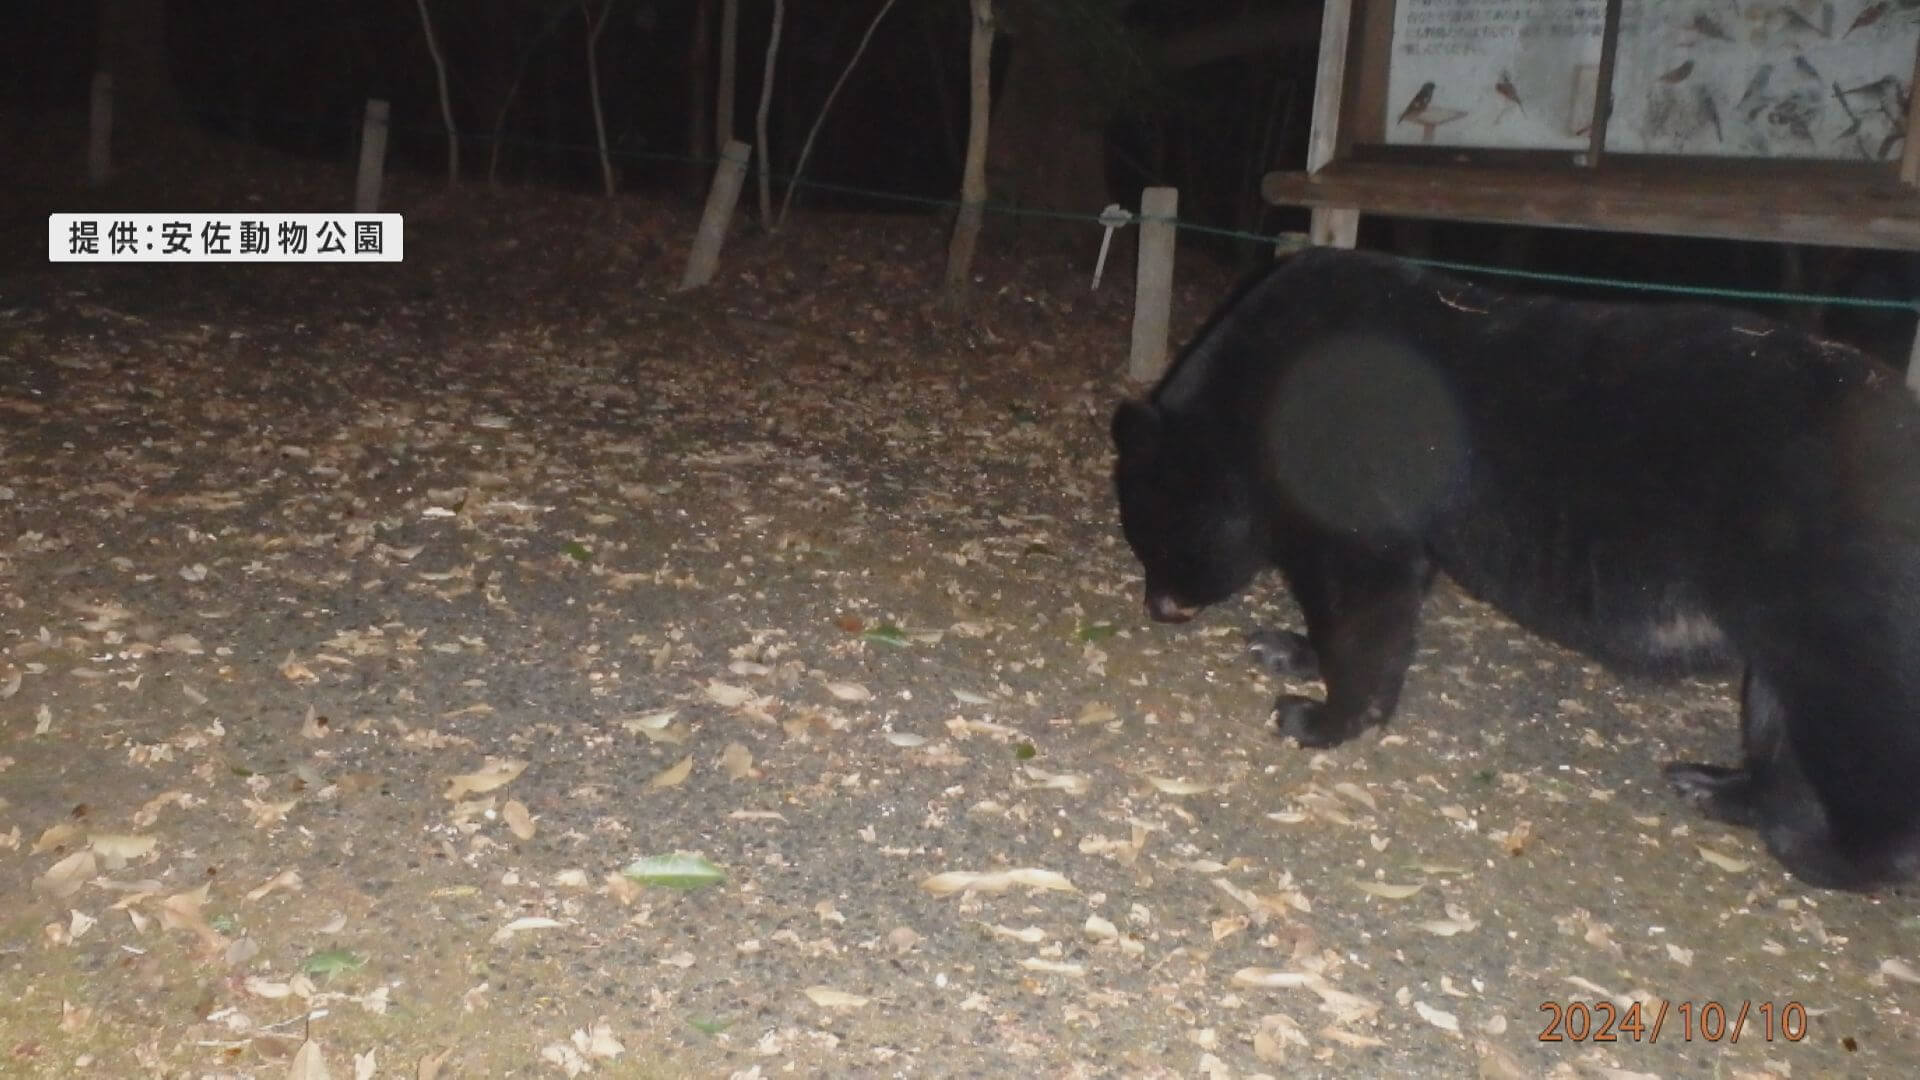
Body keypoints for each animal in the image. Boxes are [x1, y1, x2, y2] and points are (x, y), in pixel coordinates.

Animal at [1121, 245, 1920, 891]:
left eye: (1154, 539)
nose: (1158, 608)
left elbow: (1363, 594)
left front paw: (1322, 715)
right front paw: (1289, 647)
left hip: (1838, 604)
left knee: (1862, 742)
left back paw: (1815, 846)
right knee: (1779, 715)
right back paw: (1720, 785)